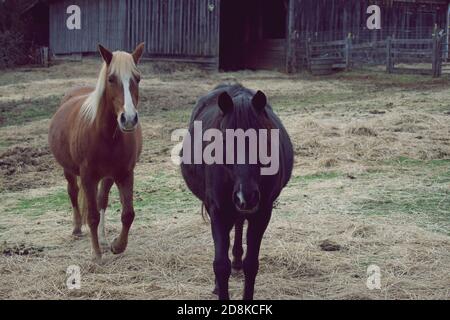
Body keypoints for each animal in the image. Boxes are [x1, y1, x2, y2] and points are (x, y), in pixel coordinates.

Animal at [49, 43, 144, 262]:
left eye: (137, 78)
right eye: (111, 79)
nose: (129, 119)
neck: (106, 135)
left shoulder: (125, 174)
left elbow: (128, 214)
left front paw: (117, 245)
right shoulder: (87, 176)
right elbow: (91, 215)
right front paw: (96, 254)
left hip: (107, 177)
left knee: (102, 200)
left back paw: (102, 238)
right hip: (69, 171)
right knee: (73, 192)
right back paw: (77, 229)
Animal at [181, 84, 294, 300]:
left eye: (264, 140)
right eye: (224, 142)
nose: (246, 197)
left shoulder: (262, 213)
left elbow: (252, 264)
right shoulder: (218, 210)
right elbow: (220, 264)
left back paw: (237, 261)